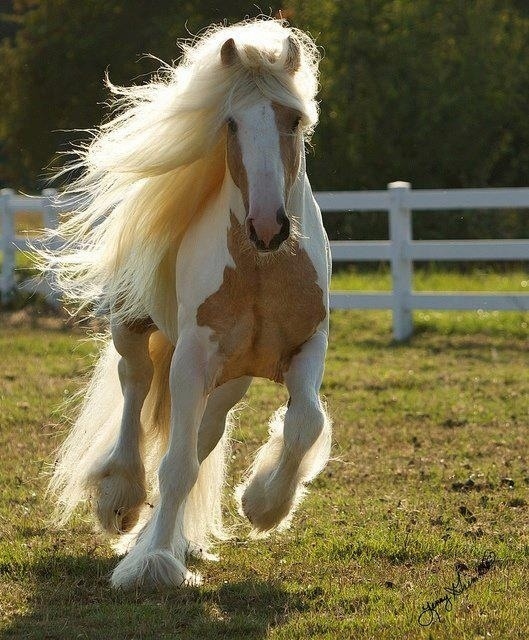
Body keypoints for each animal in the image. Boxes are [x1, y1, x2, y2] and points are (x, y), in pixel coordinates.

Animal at [46, 18, 334, 592]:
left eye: (293, 119)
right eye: (231, 123)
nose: (268, 227)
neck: (263, 269)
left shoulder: (308, 346)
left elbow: (305, 424)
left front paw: (263, 505)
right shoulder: (193, 358)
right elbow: (176, 466)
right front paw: (154, 562)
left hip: (229, 381)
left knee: (204, 433)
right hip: (135, 329)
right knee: (134, 384)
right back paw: (122, 499)